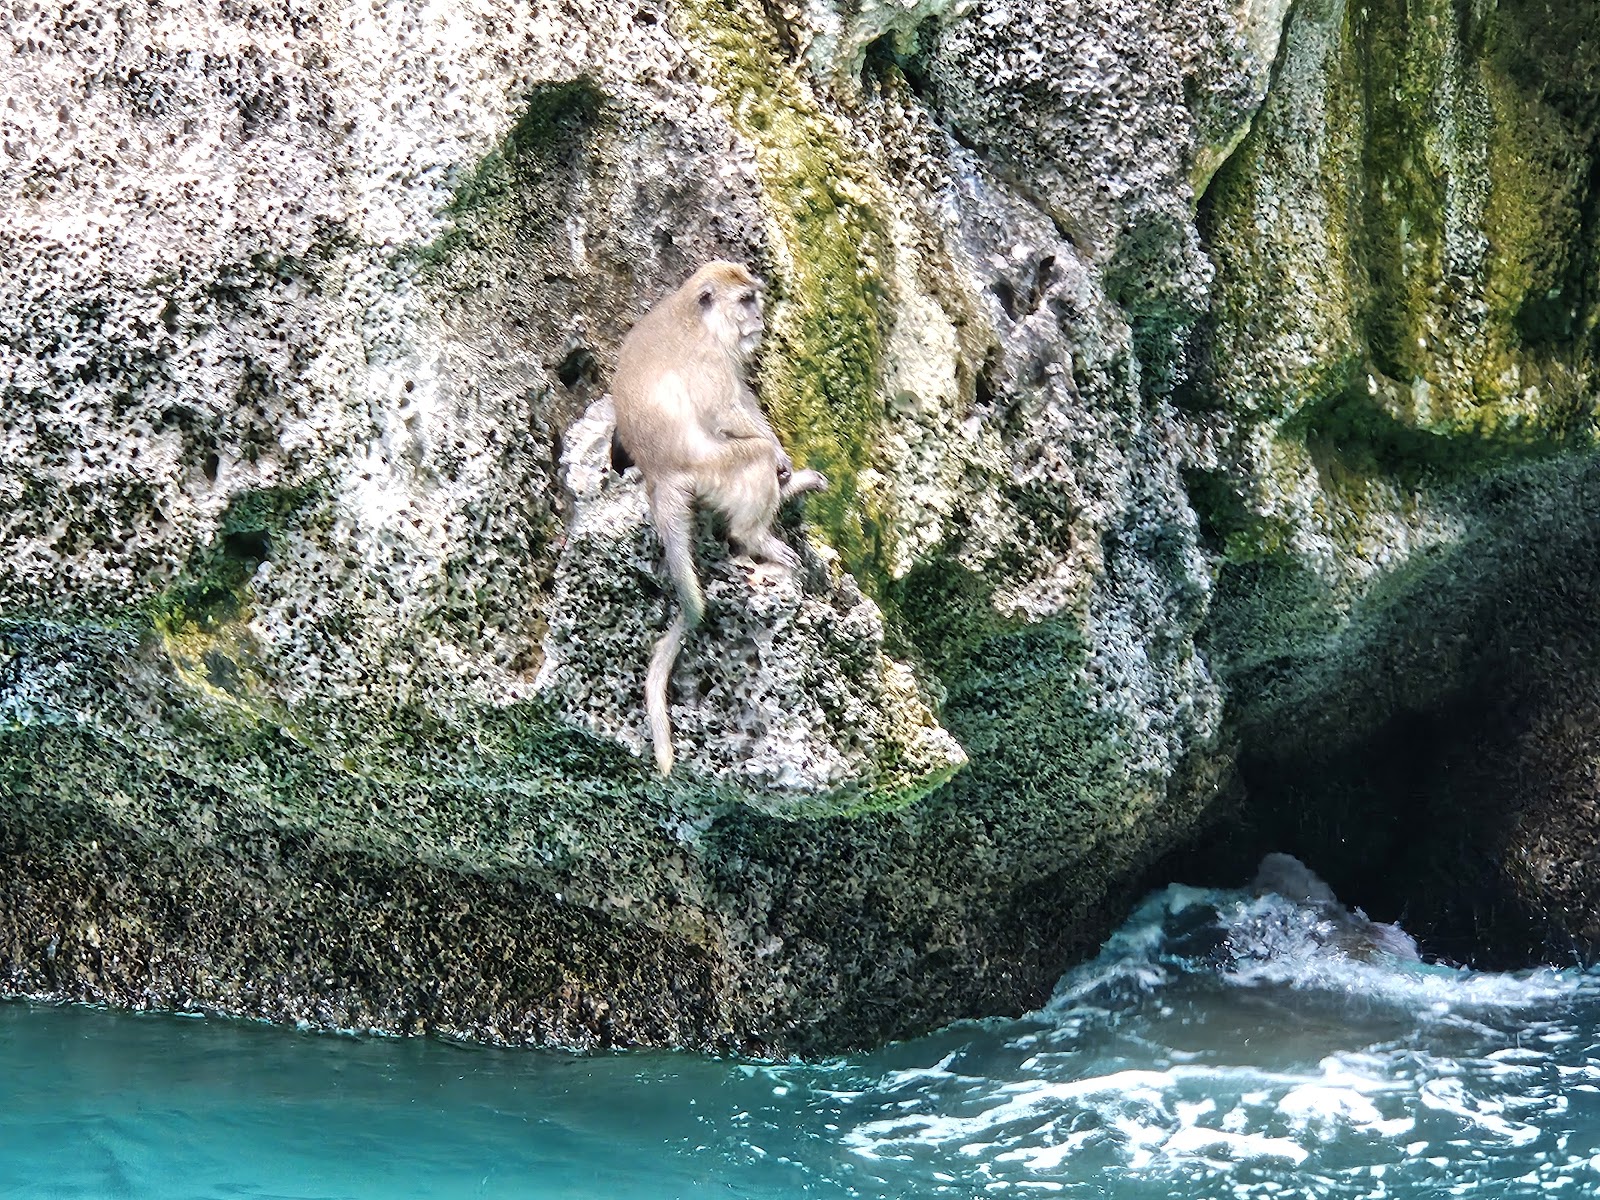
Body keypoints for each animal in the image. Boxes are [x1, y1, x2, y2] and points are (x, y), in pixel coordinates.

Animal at [609, 261, 827, 775]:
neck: (699, 320)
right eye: (746, 300)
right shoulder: (710, 362)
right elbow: (728, 411)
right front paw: (776, 454)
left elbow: (745, 401)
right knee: (749, 461)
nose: (760, 317)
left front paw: (787, 465)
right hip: (711, 470)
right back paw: (758, 534)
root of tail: (661, 474)